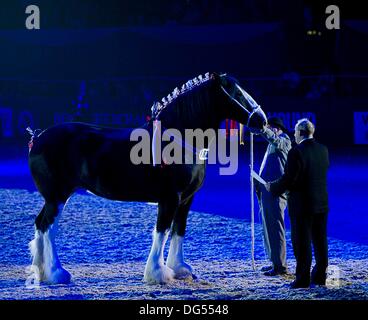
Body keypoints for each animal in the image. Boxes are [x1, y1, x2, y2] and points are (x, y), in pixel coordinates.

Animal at [27, 73, 266, 284]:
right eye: (236, 92)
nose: (262, 120)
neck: (179, 139)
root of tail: (38, 137)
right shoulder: (169, 198)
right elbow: (162, 231)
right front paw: (157, 274)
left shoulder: (186, 200)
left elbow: (179, 229)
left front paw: (179, 269)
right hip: (58, 196)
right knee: (48, 226)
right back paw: (57, 273)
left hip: (53, 198)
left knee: (40, 224)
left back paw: (41, 273)